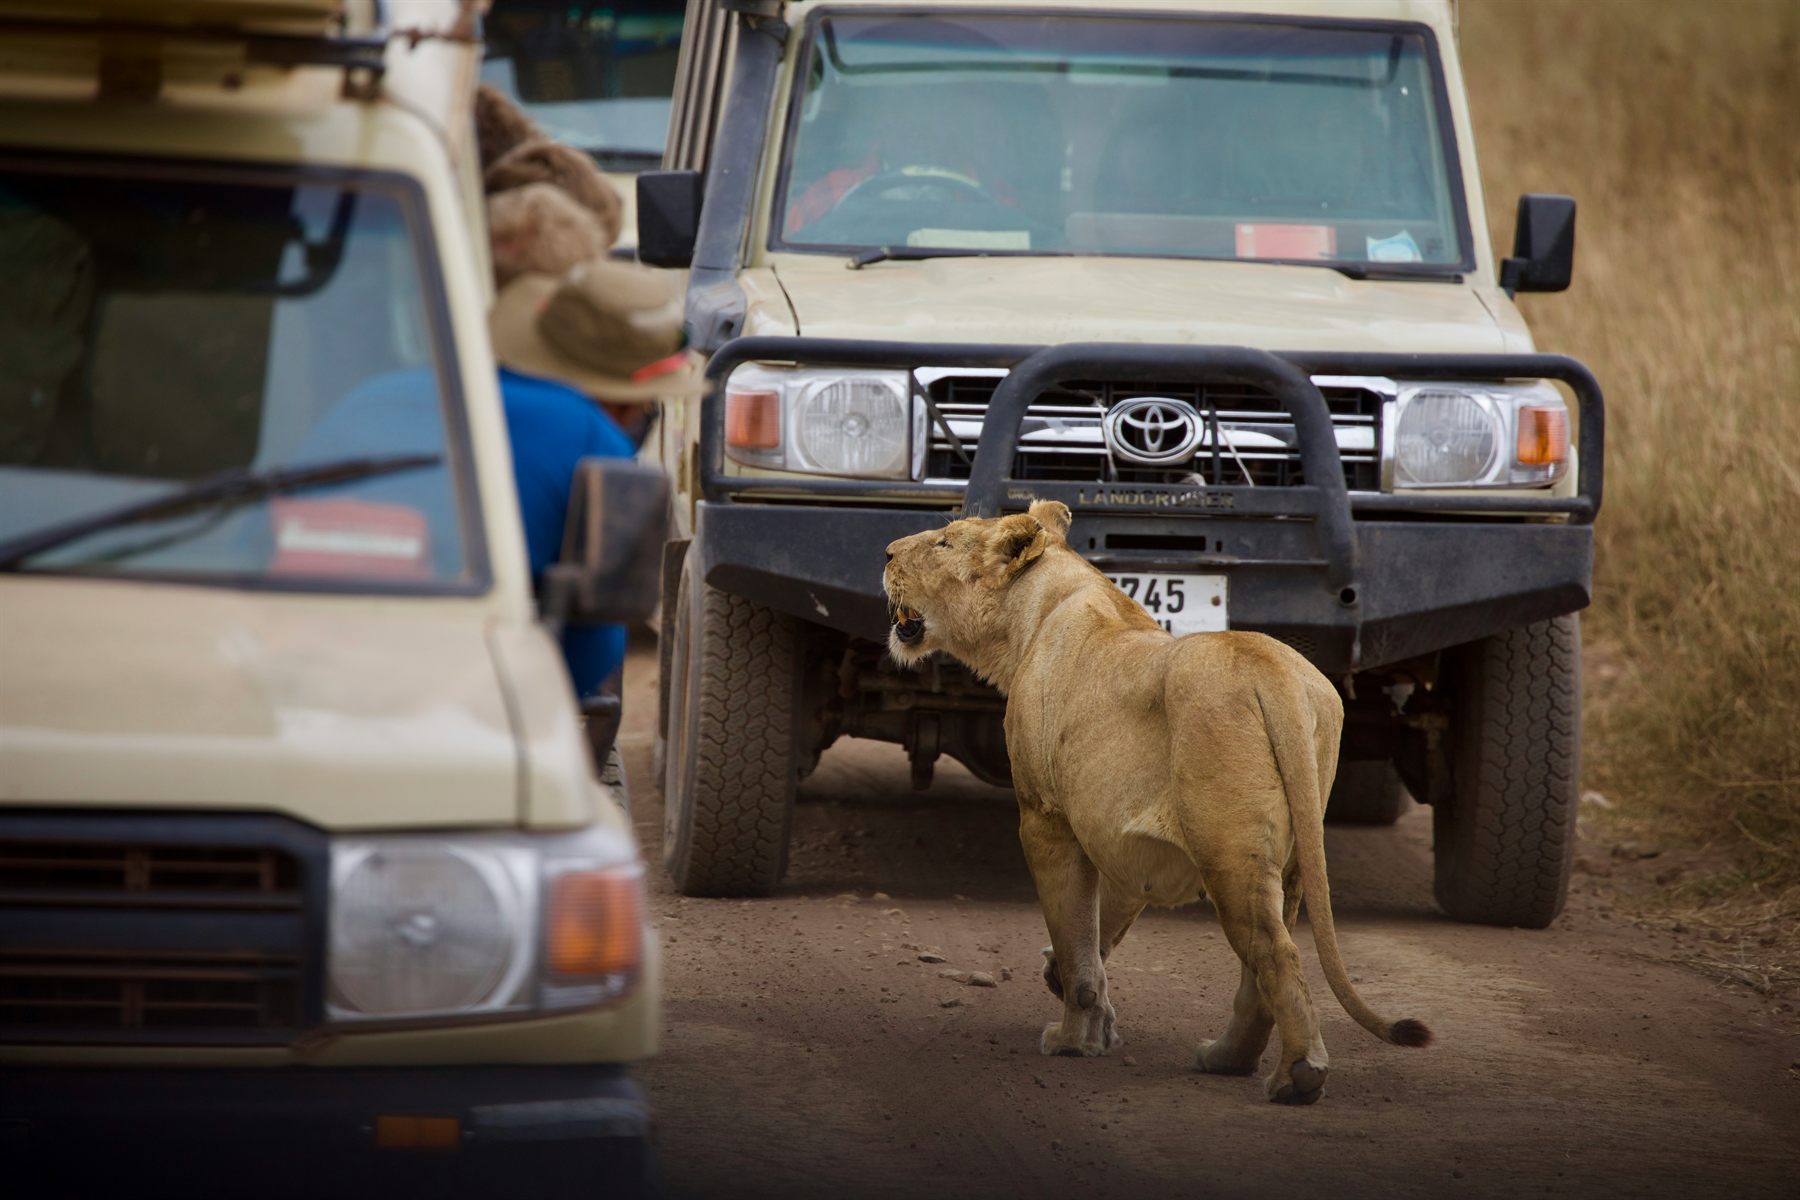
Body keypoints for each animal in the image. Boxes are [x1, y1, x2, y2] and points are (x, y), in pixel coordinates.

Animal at [883, 499, 1430, 1104]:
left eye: (944, 543)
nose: (885, 553)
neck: (1038, 610)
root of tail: (1271, 671)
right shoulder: (1116, 836)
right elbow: (1098, 930)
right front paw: (1086, 1015)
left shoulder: (1047, 819)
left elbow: (1075, 939)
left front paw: (1072, 1039)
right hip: (1287, 859)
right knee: (1260, 965)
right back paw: (1226, 1058)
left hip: (1227, 851)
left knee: (1275, 952)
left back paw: (1297, 1076)